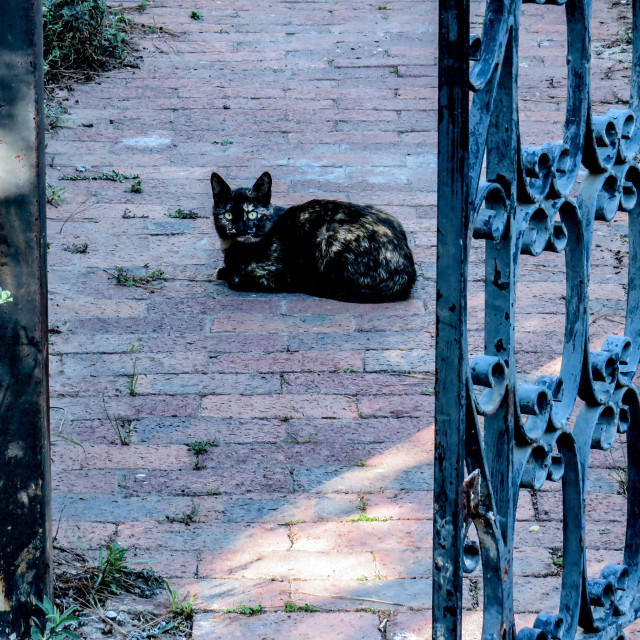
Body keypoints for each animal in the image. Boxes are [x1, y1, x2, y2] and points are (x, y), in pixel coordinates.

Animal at [212, 171, 418, 304]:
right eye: (228, 215)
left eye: (252, 214)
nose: (240, 229)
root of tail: (406, 268)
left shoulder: (279, 275)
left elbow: (235, 279)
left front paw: (230, 274)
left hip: (328, 237)